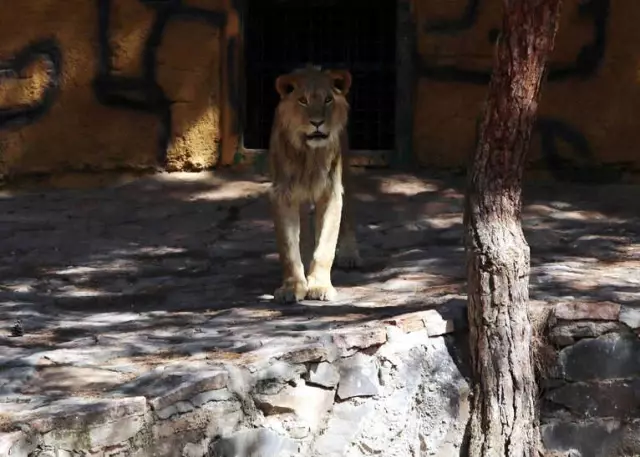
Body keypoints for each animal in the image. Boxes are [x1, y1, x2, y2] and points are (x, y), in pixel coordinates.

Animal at [268, 61, 362, 302]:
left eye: (328, 99)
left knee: (348, 216)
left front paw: (319, 285)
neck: (309, 154)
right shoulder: (283, 194)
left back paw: (349, 255)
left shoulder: (332, 192)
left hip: (345, 174)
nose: (317, 123)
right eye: (303, 100)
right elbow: (289, 248)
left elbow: (326, 245)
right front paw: (292, 287)